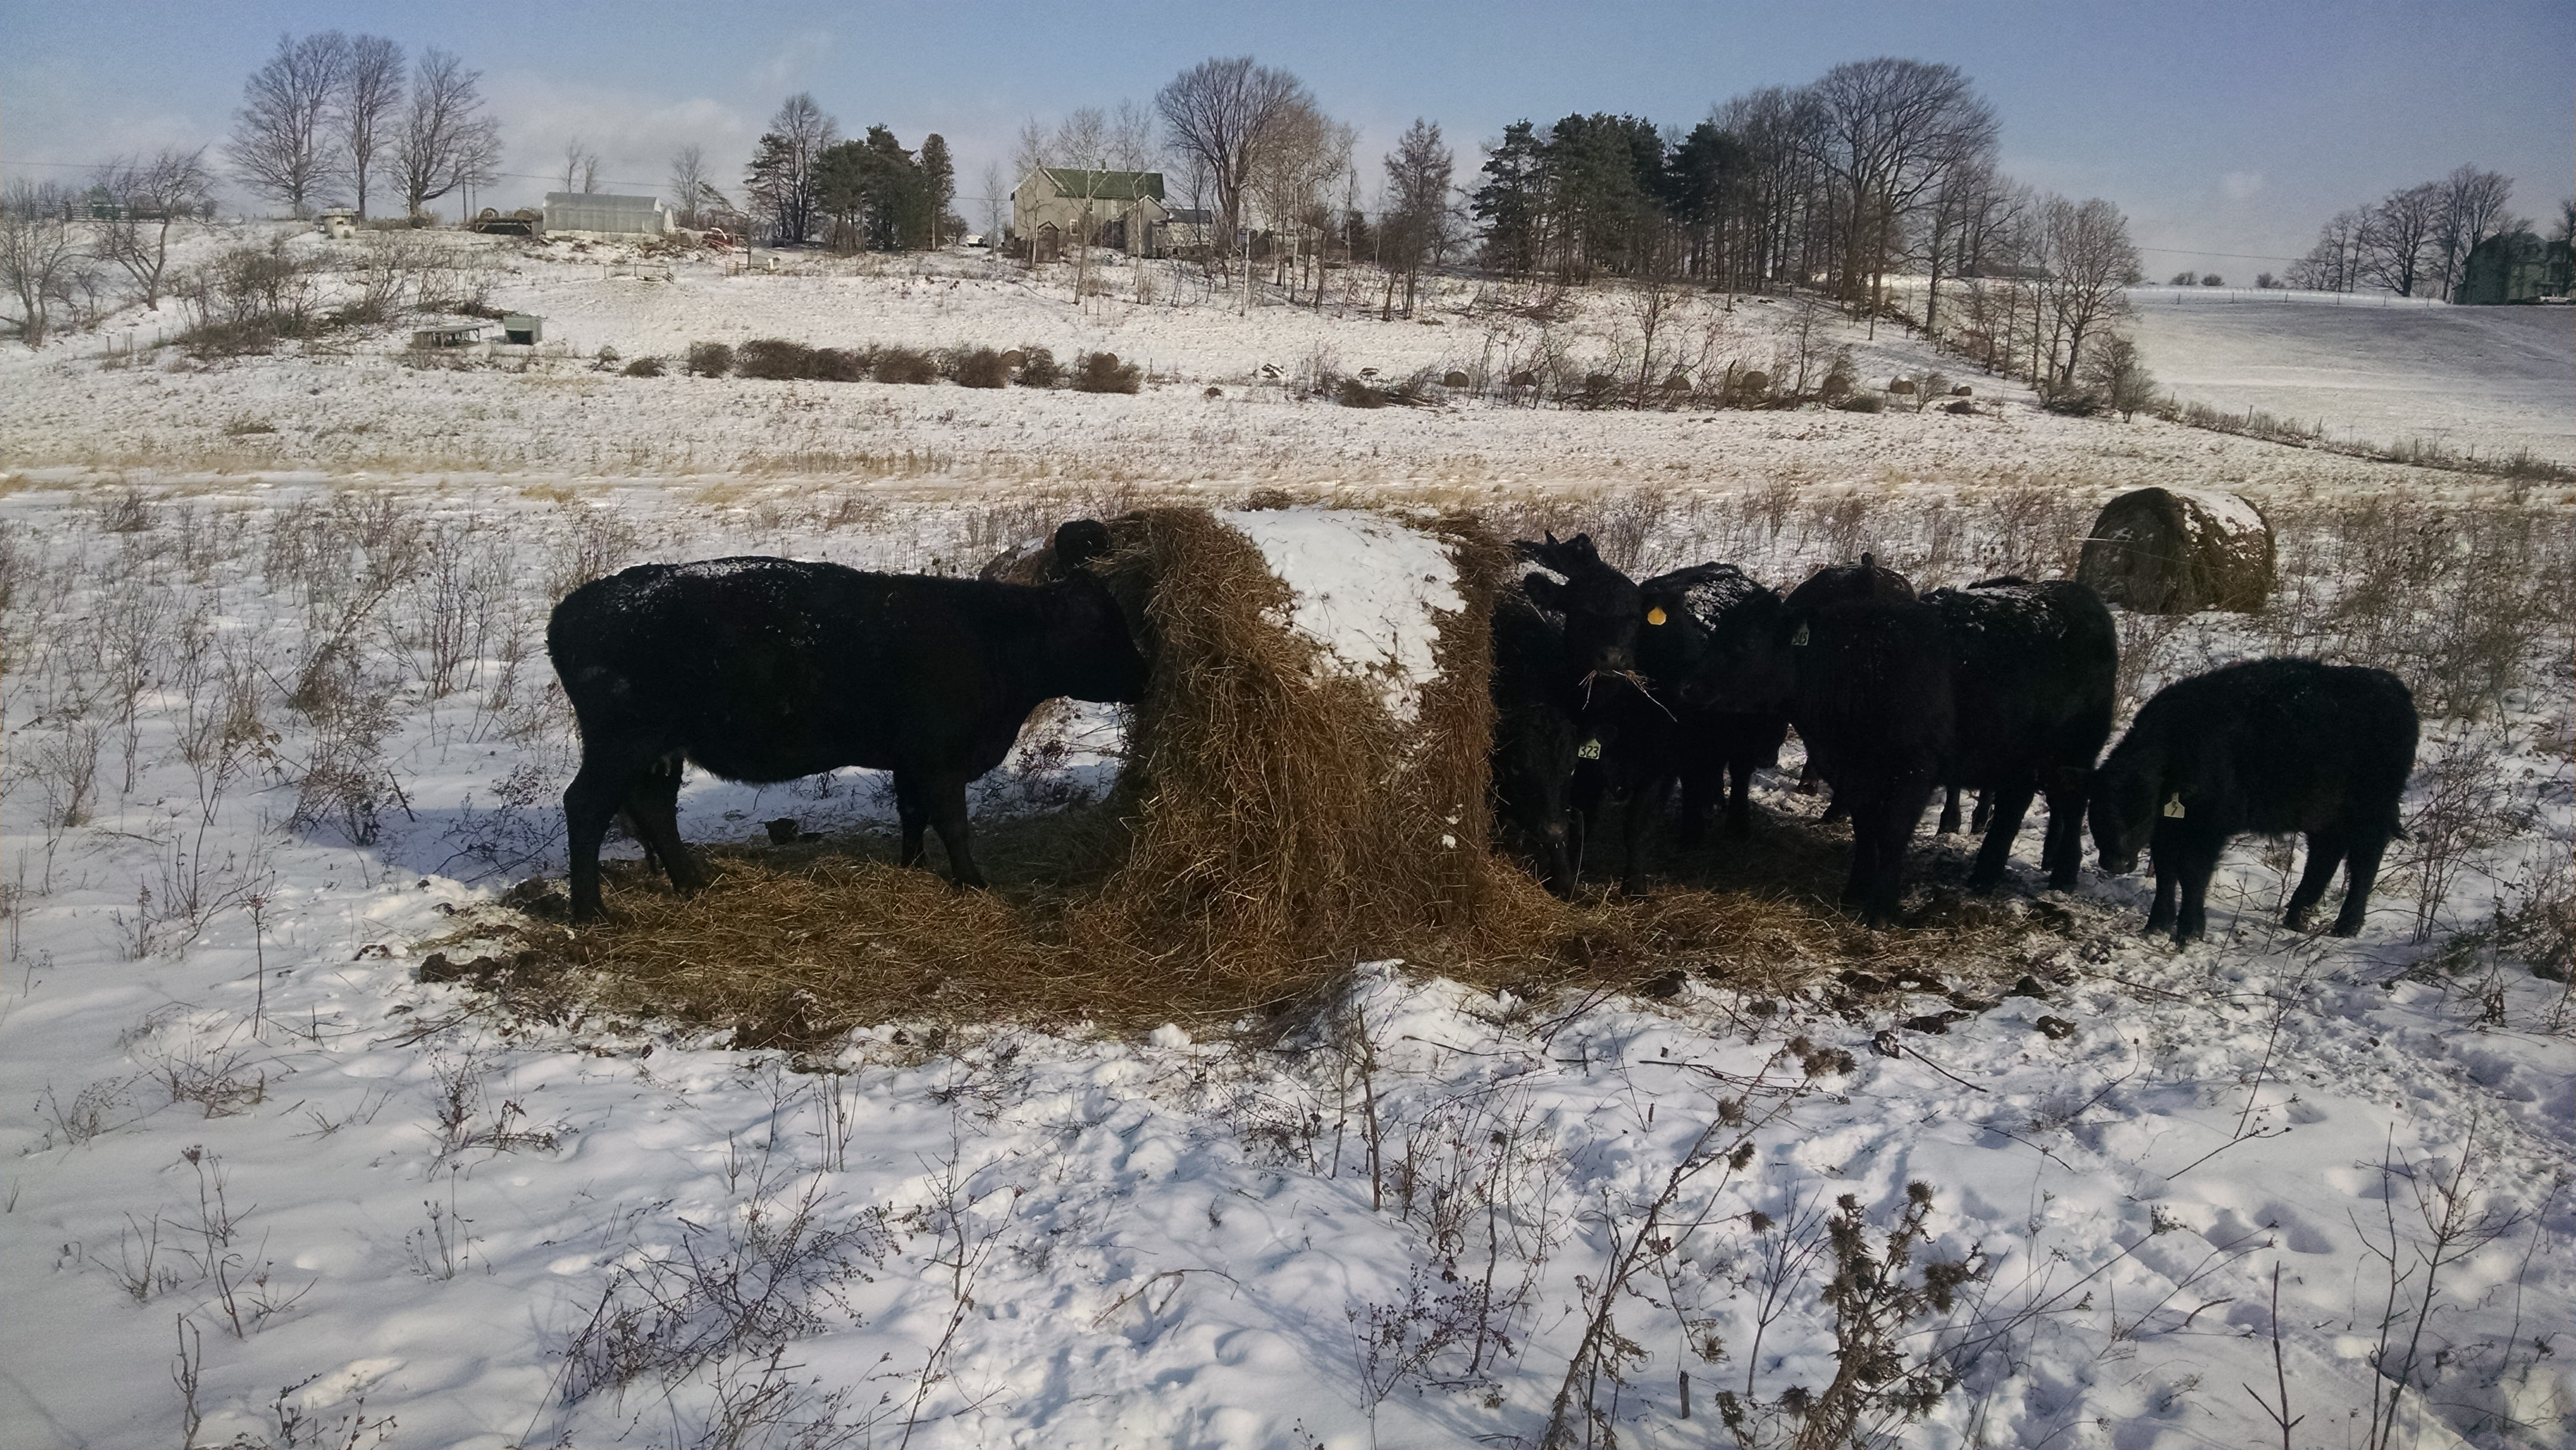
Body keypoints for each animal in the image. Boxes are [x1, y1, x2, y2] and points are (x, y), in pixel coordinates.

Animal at [549, 522, 1144, 916]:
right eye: (1102, 626)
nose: (1143, 676)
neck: (993, 640)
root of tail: (575, 608)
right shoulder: (939, 761)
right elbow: (953, 824)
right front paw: (973, 883)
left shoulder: (911, 762)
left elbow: (912, 817)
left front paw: (913, 869)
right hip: (623, 743)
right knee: (586, 807)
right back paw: (592, 912)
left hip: (659, 750)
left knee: (654, 809)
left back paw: (694, 885)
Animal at [2091, 659, 2411, 953]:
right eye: (2097, 811)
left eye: (2144, 813)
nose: (2117, 863)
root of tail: (2391, 686)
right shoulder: (2168, 830)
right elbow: (2167, 873)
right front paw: (2157, 925)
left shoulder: (2209, 828)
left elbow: (2193, 874)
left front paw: (2190, 932)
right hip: (2326, 813)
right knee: (2325, 855)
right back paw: (2297, 916)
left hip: (2371, 811)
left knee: (2364, 862)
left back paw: (2346, 926)